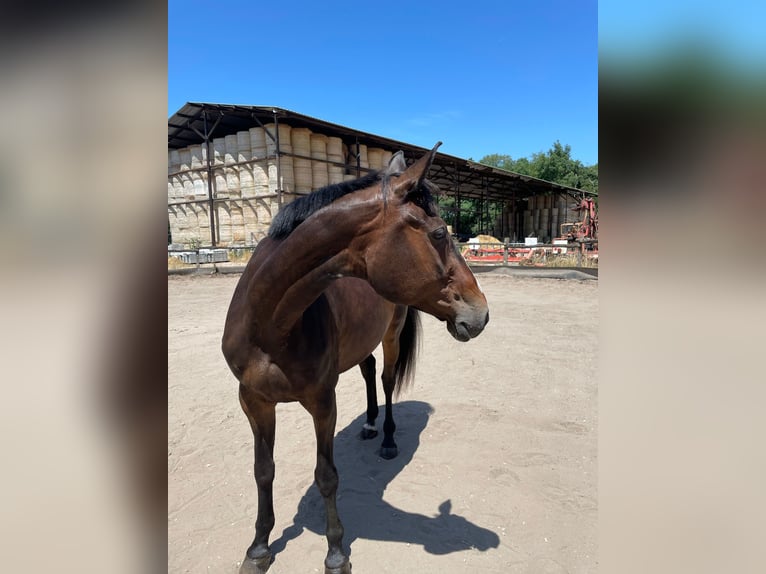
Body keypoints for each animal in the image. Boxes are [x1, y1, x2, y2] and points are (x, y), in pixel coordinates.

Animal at [220, 144, 492, 574]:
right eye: (438, 233)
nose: (480, 313)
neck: (270, 322)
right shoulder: (253, 400)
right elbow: (263, 471)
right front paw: (259, 548)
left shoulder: (321, 402)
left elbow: (326, 476)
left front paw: (336, 552)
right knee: (368, 371)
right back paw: (368, 424)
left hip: (392, 335)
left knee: (386, 379)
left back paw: (388, 439)